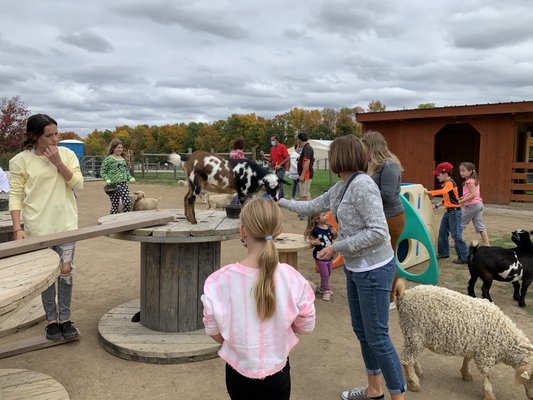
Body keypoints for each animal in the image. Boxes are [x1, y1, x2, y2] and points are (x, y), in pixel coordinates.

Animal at [392, 278, 532, 400]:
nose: (531, 397)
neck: (505, 339)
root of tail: (404, 295)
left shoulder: (473, 344)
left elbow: (467, 358)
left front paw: (465, 373)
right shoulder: (486, 354)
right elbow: (487, 375)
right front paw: (489, 394)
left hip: (413, 335)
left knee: (410, 356)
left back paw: (418, 372)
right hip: (414, 331)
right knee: (406, 359)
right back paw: (414, 382)